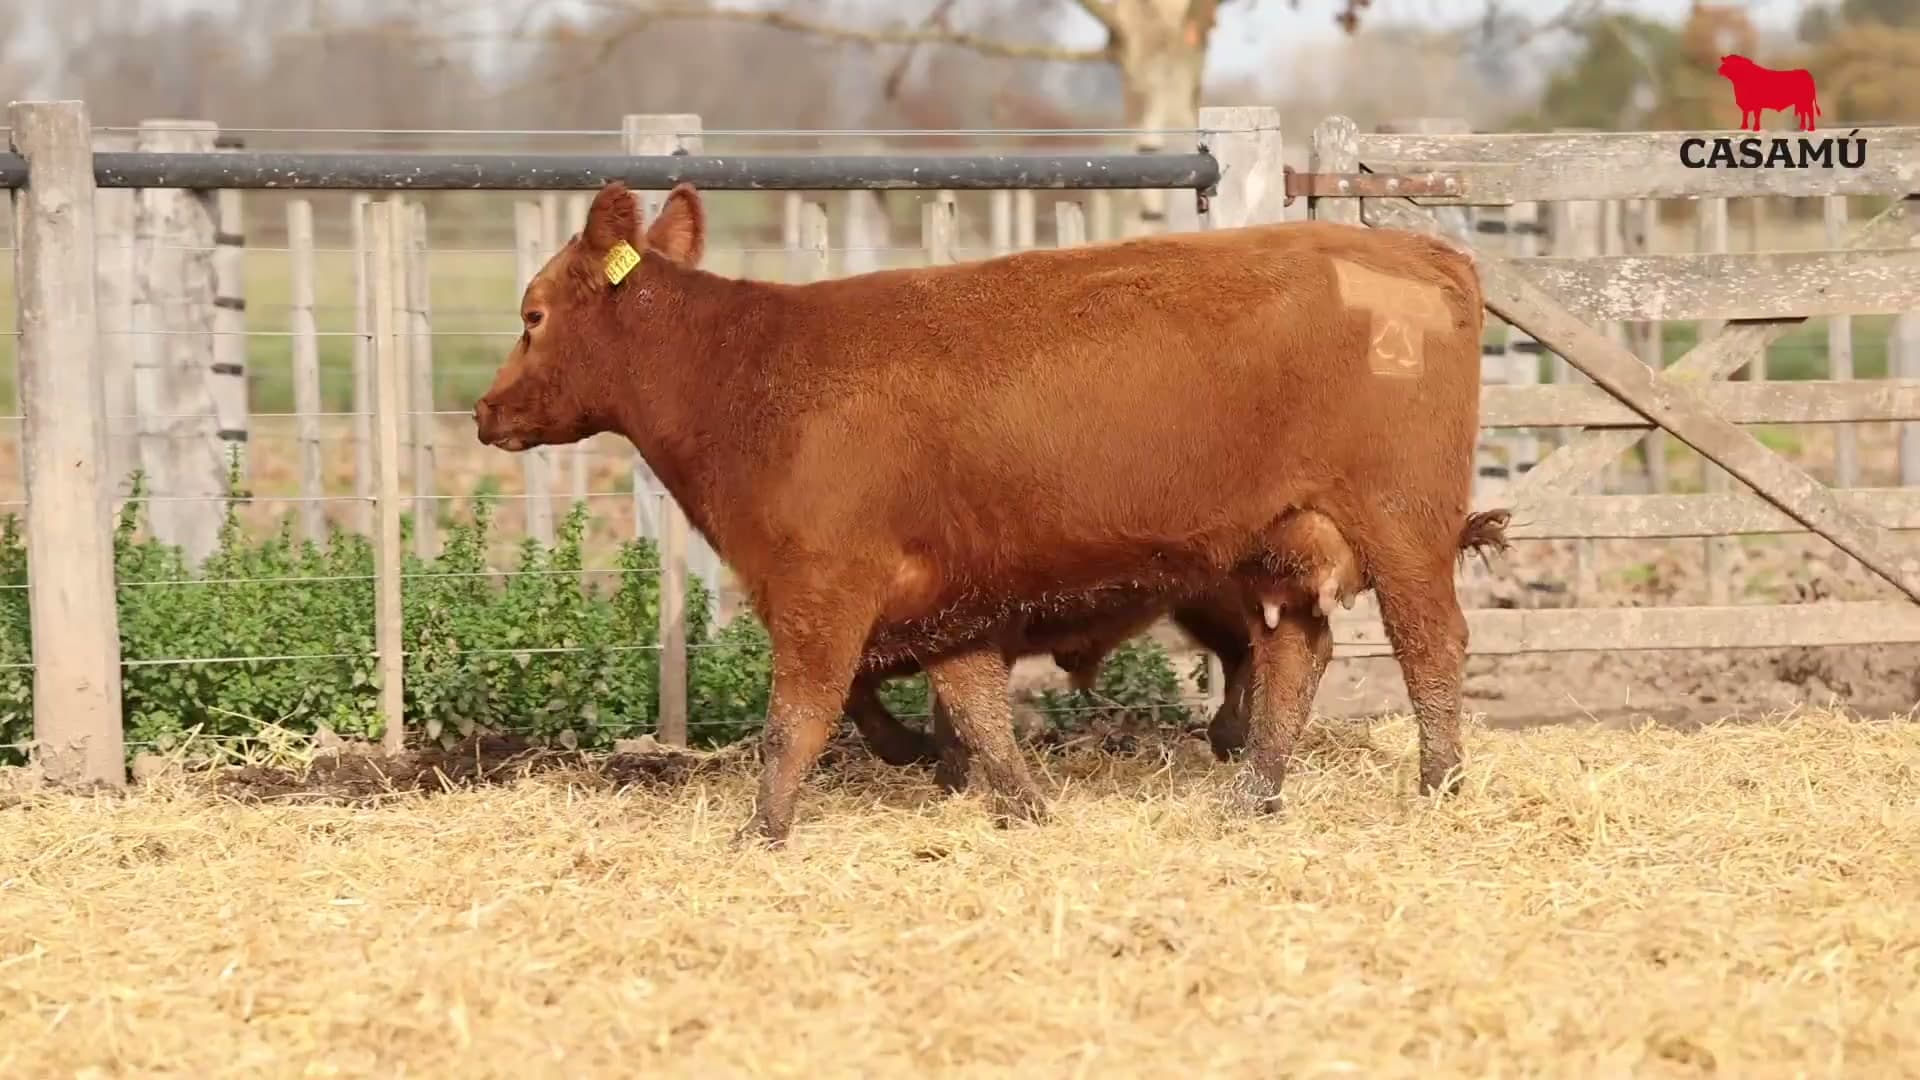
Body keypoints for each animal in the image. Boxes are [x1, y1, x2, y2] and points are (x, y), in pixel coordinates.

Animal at [474, 180, 1506, 846]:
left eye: (531, 315)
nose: (484, 411)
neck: (748, 377)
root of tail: (1427, 252)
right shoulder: (945, 599)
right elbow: (972, 710)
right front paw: (1019, 804)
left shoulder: (818, 587)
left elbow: (797, 718)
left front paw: (760, 834)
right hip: (1282, 549)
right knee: (1293, 656)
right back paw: (1252, 795)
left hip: (1402, 525)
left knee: (1432, 645)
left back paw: (1439, 785)